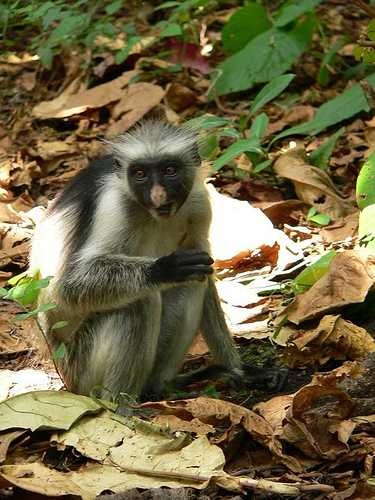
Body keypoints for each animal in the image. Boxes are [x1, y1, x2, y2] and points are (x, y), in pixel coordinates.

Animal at [28, 121, 241, 402]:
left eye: (170, 170)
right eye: (140, 174)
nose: (159, 196)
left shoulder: (197, 201)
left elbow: (203, 268)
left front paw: (239, 368)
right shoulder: (113, 206)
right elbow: (66, 288)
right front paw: (163, 269)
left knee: (191, 282)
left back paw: (160, 388)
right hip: (81, 369)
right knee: (139, 302)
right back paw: (120, 406)